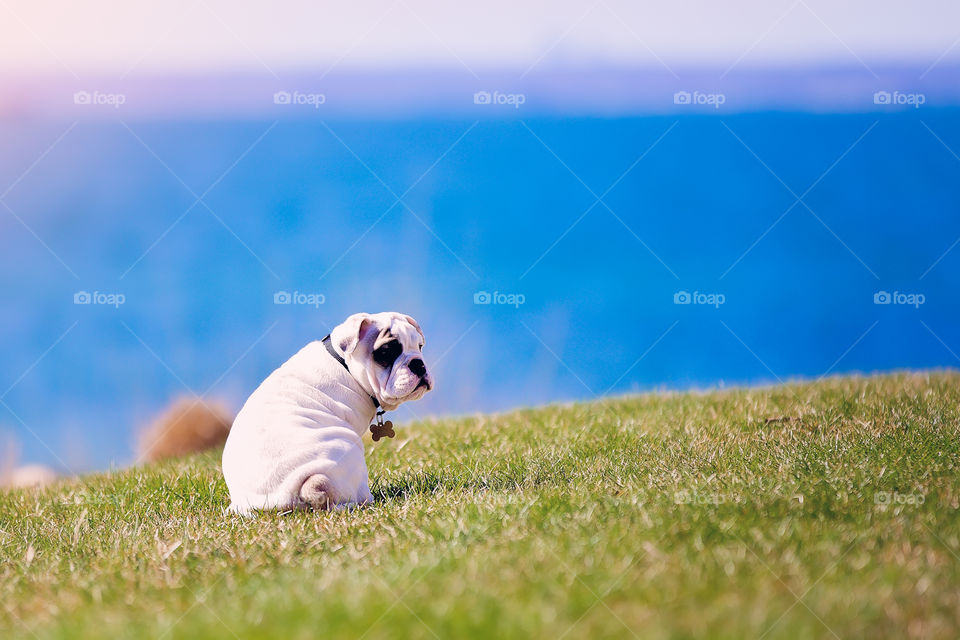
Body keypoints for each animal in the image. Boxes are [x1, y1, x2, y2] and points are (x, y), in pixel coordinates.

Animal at [221, 312, 432, 516]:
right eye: (386, 352)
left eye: (420, 346)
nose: (418, 363)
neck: (344, 362)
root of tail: (283, 498)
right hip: (349, 450)